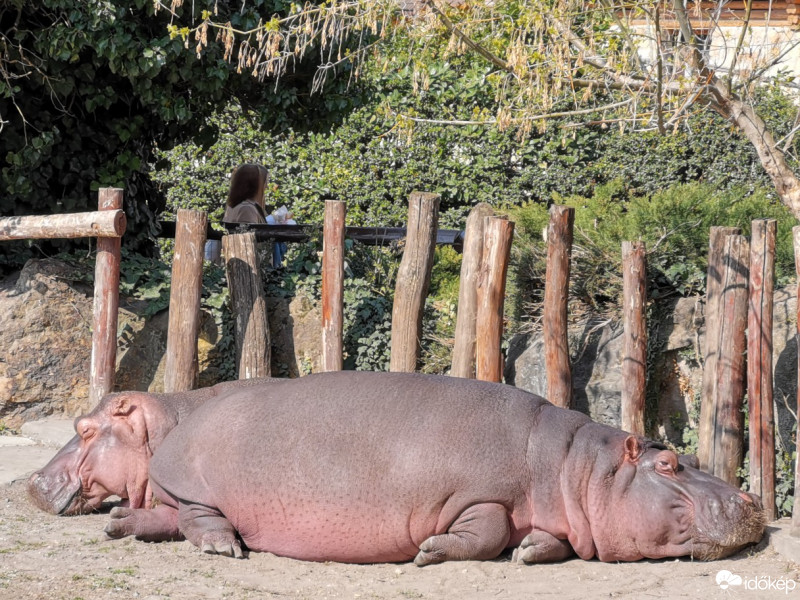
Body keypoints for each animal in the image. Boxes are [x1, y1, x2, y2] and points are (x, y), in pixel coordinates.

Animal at [86, 372, 764, 564]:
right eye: (669, 463)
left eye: (693, 457)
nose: (752, 501)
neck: (577, 468)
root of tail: (183, 425)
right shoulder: (477, 495)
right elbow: (486, 529)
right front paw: (430, 551)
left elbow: (543, 539)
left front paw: (530, 552)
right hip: (200, 487)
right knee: (200, 521)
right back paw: (225, 549)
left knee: (163, 520)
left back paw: (117, 524)